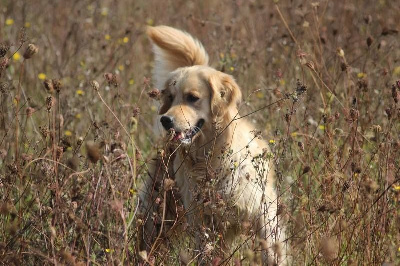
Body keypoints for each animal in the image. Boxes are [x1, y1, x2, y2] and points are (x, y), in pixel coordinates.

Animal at [138, 26, 288, 264]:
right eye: (170, 98)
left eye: (192, 97)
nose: (165, 120)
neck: (212, 155)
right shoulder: (203, 221)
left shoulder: (263, 212)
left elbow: (272, 251)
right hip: (158, 213)